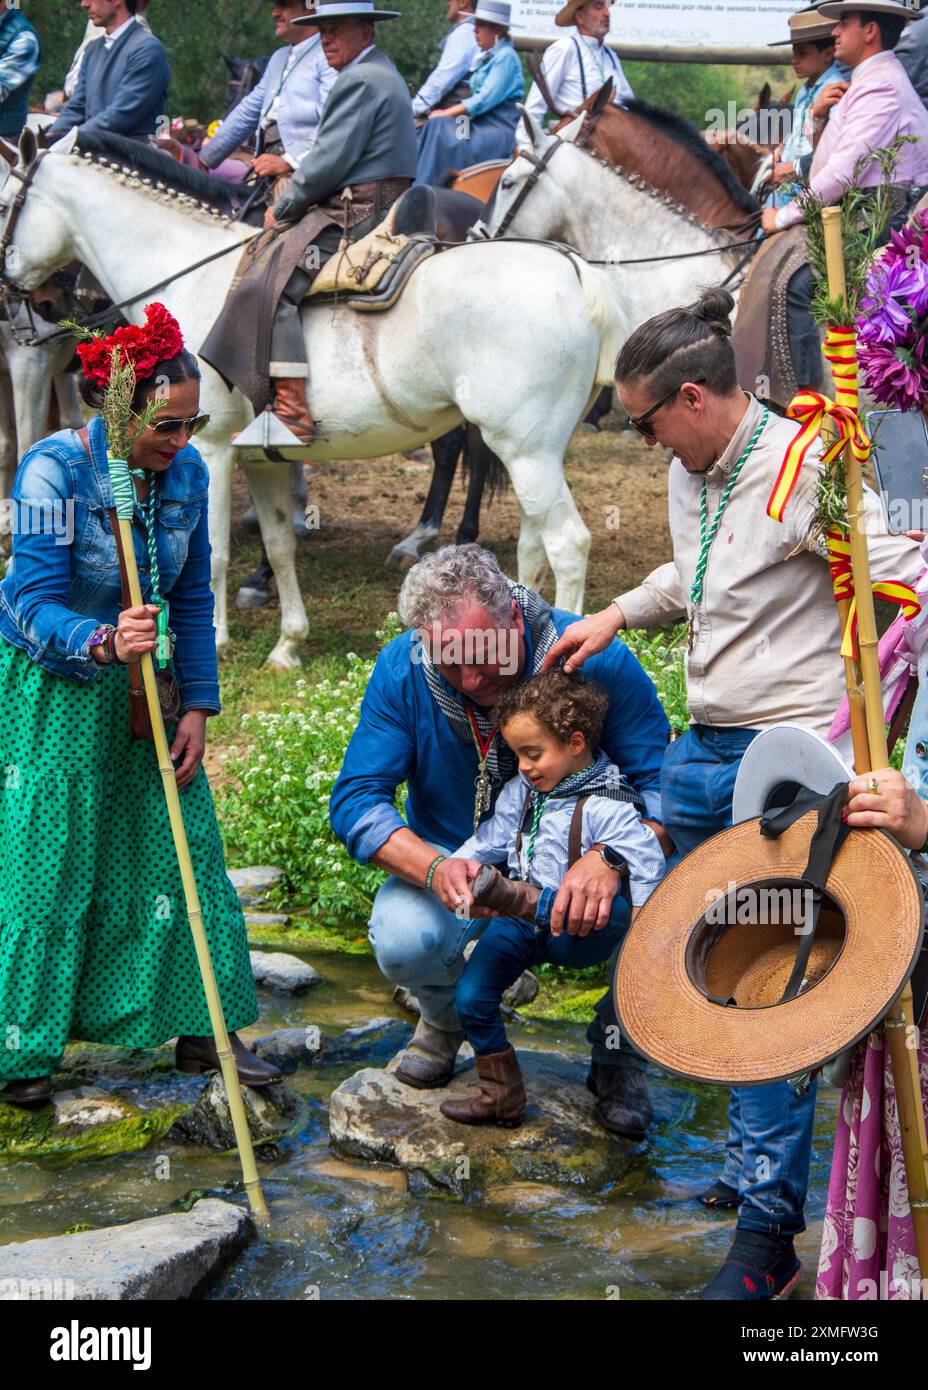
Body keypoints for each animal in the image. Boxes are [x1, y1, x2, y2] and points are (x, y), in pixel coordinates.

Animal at [1, 129, 622, 661]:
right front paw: (288, 643)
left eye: (7, 201)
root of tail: (571, 269)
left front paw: (217, 639)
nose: (32, 304)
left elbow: (213, 553)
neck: (188, 273)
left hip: (526, 452)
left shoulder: (211, 449)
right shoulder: (261, 459)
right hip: (533, 455)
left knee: (568, 544)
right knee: (533, 548)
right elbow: (278, 542)